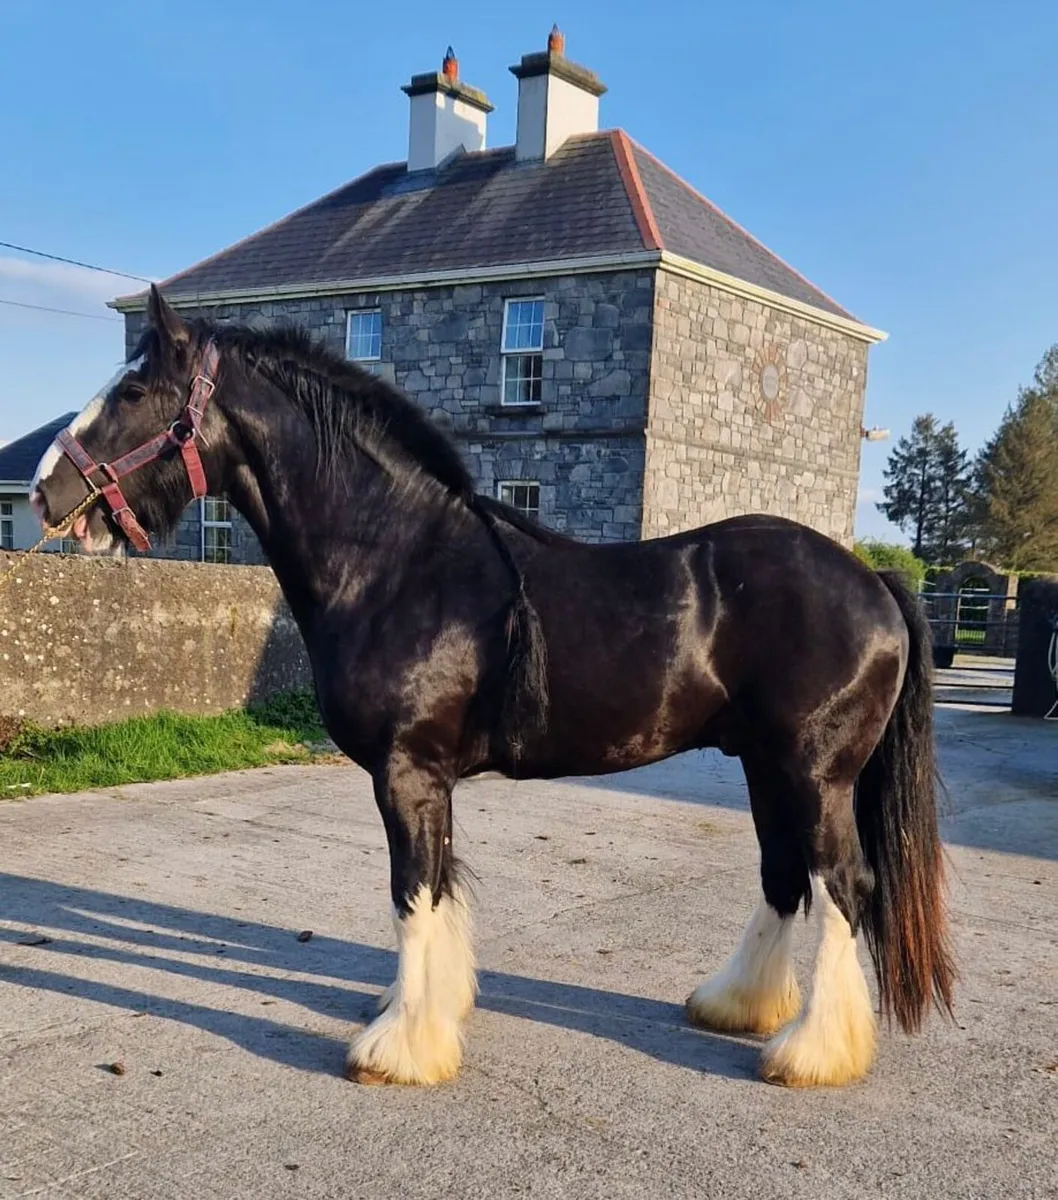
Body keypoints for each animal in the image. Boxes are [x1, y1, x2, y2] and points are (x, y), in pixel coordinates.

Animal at [30, 285, 955, 1089]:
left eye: (135, 390)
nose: (44, 491)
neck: (395, 562)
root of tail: (874, 582)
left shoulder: (405, 773)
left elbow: (411, 894)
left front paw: (399, 1050)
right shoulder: (429, 779)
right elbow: (439, 889)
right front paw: (429, 1014)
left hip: (813, 775)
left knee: (843, 889)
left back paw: (812, 1054)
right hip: (766, 767)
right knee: (785, 878)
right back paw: (738, 1007)